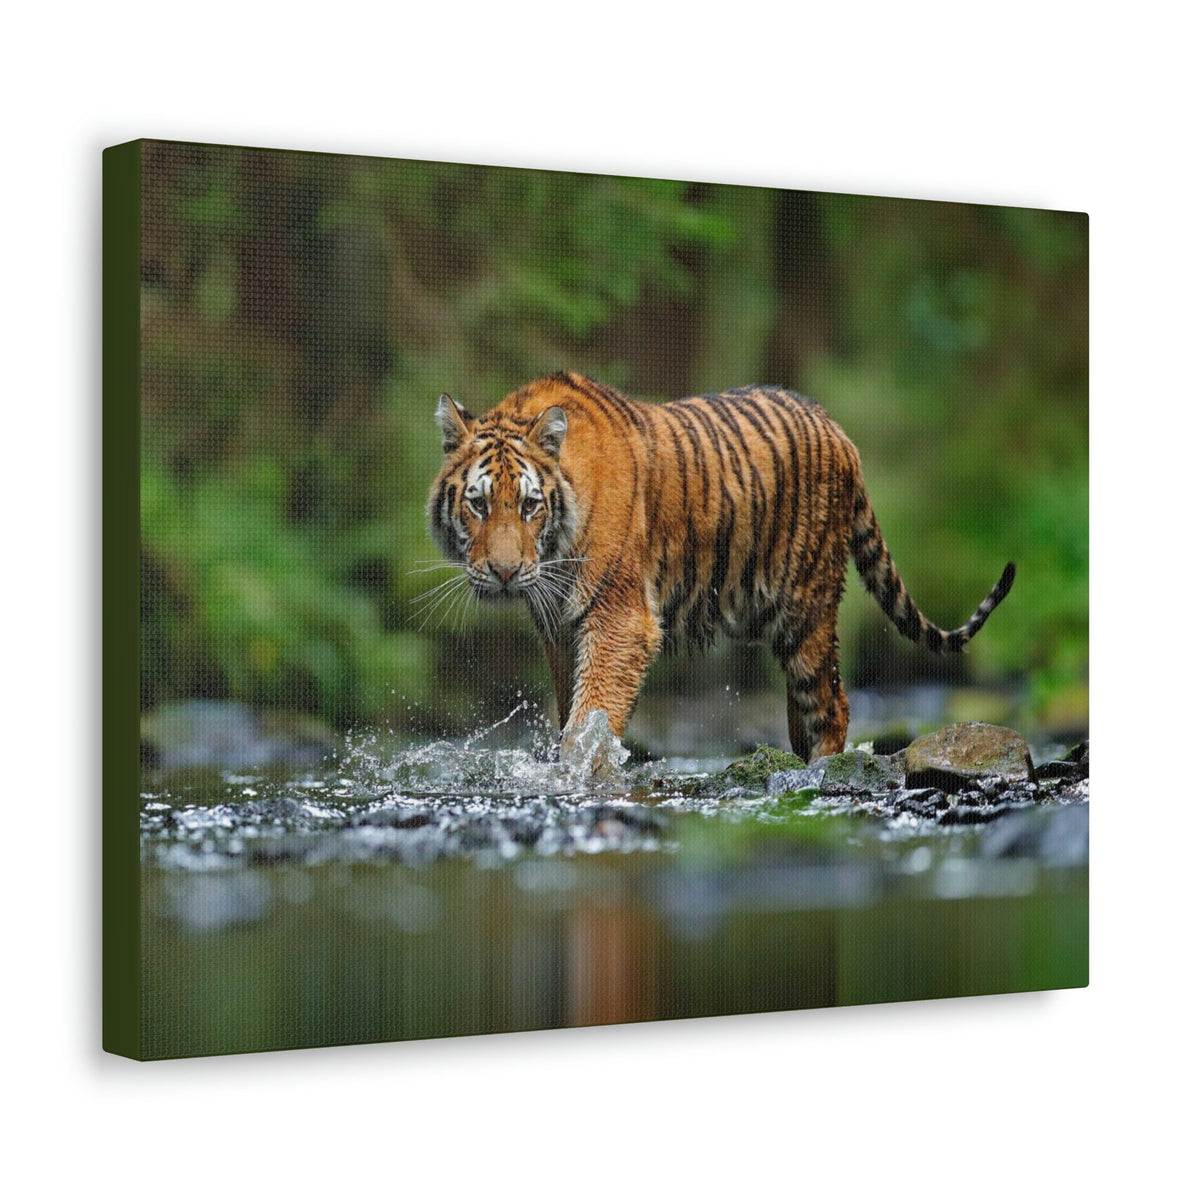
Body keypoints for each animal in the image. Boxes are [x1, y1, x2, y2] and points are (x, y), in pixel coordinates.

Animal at [427, 370, 1014, 762]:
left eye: (530, 505)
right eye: (479, 503)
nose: (505, 572)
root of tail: (839, 431)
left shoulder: (621, 618)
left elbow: (590, 714)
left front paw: (578, 769)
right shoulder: (558, 627)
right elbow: (569, 704)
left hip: (806, 608)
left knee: (834, 704)